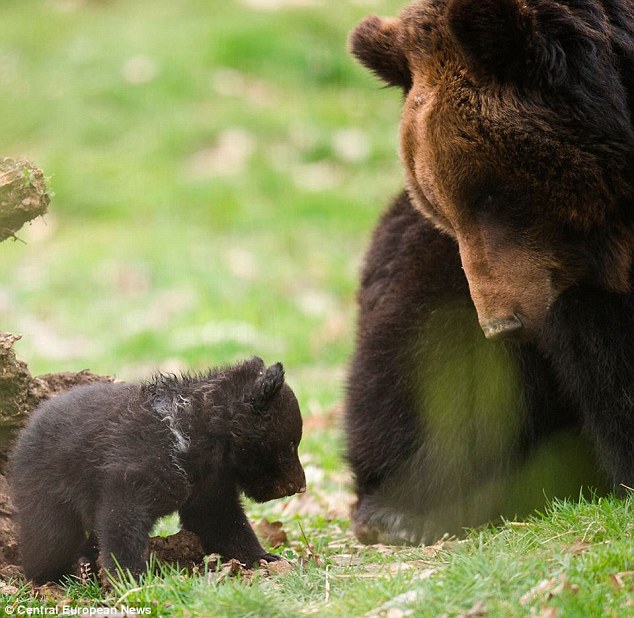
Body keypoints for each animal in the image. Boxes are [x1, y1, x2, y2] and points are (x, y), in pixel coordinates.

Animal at [8, 356, 304, 584]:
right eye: (291, 443)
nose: (300, 486)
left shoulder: (208, 481)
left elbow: (219, 518)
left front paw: (265, 557)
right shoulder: (137, 464)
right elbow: (122, 518)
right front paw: (130, 577)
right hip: (46, 487)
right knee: (49, 537)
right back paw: (61, 573)